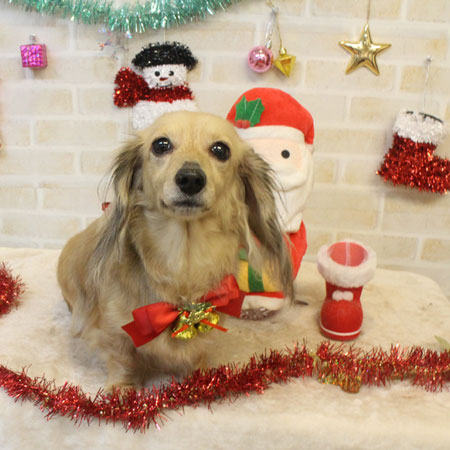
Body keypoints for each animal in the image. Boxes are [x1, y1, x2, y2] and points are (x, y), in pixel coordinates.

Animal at [57, 111, 293, 391]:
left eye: (220, 150)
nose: (190, 179)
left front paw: (202, 380)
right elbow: (122, 359)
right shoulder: (114, 332)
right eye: (161, 145)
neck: (183, 263)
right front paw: (121, 389)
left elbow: (198, 353)